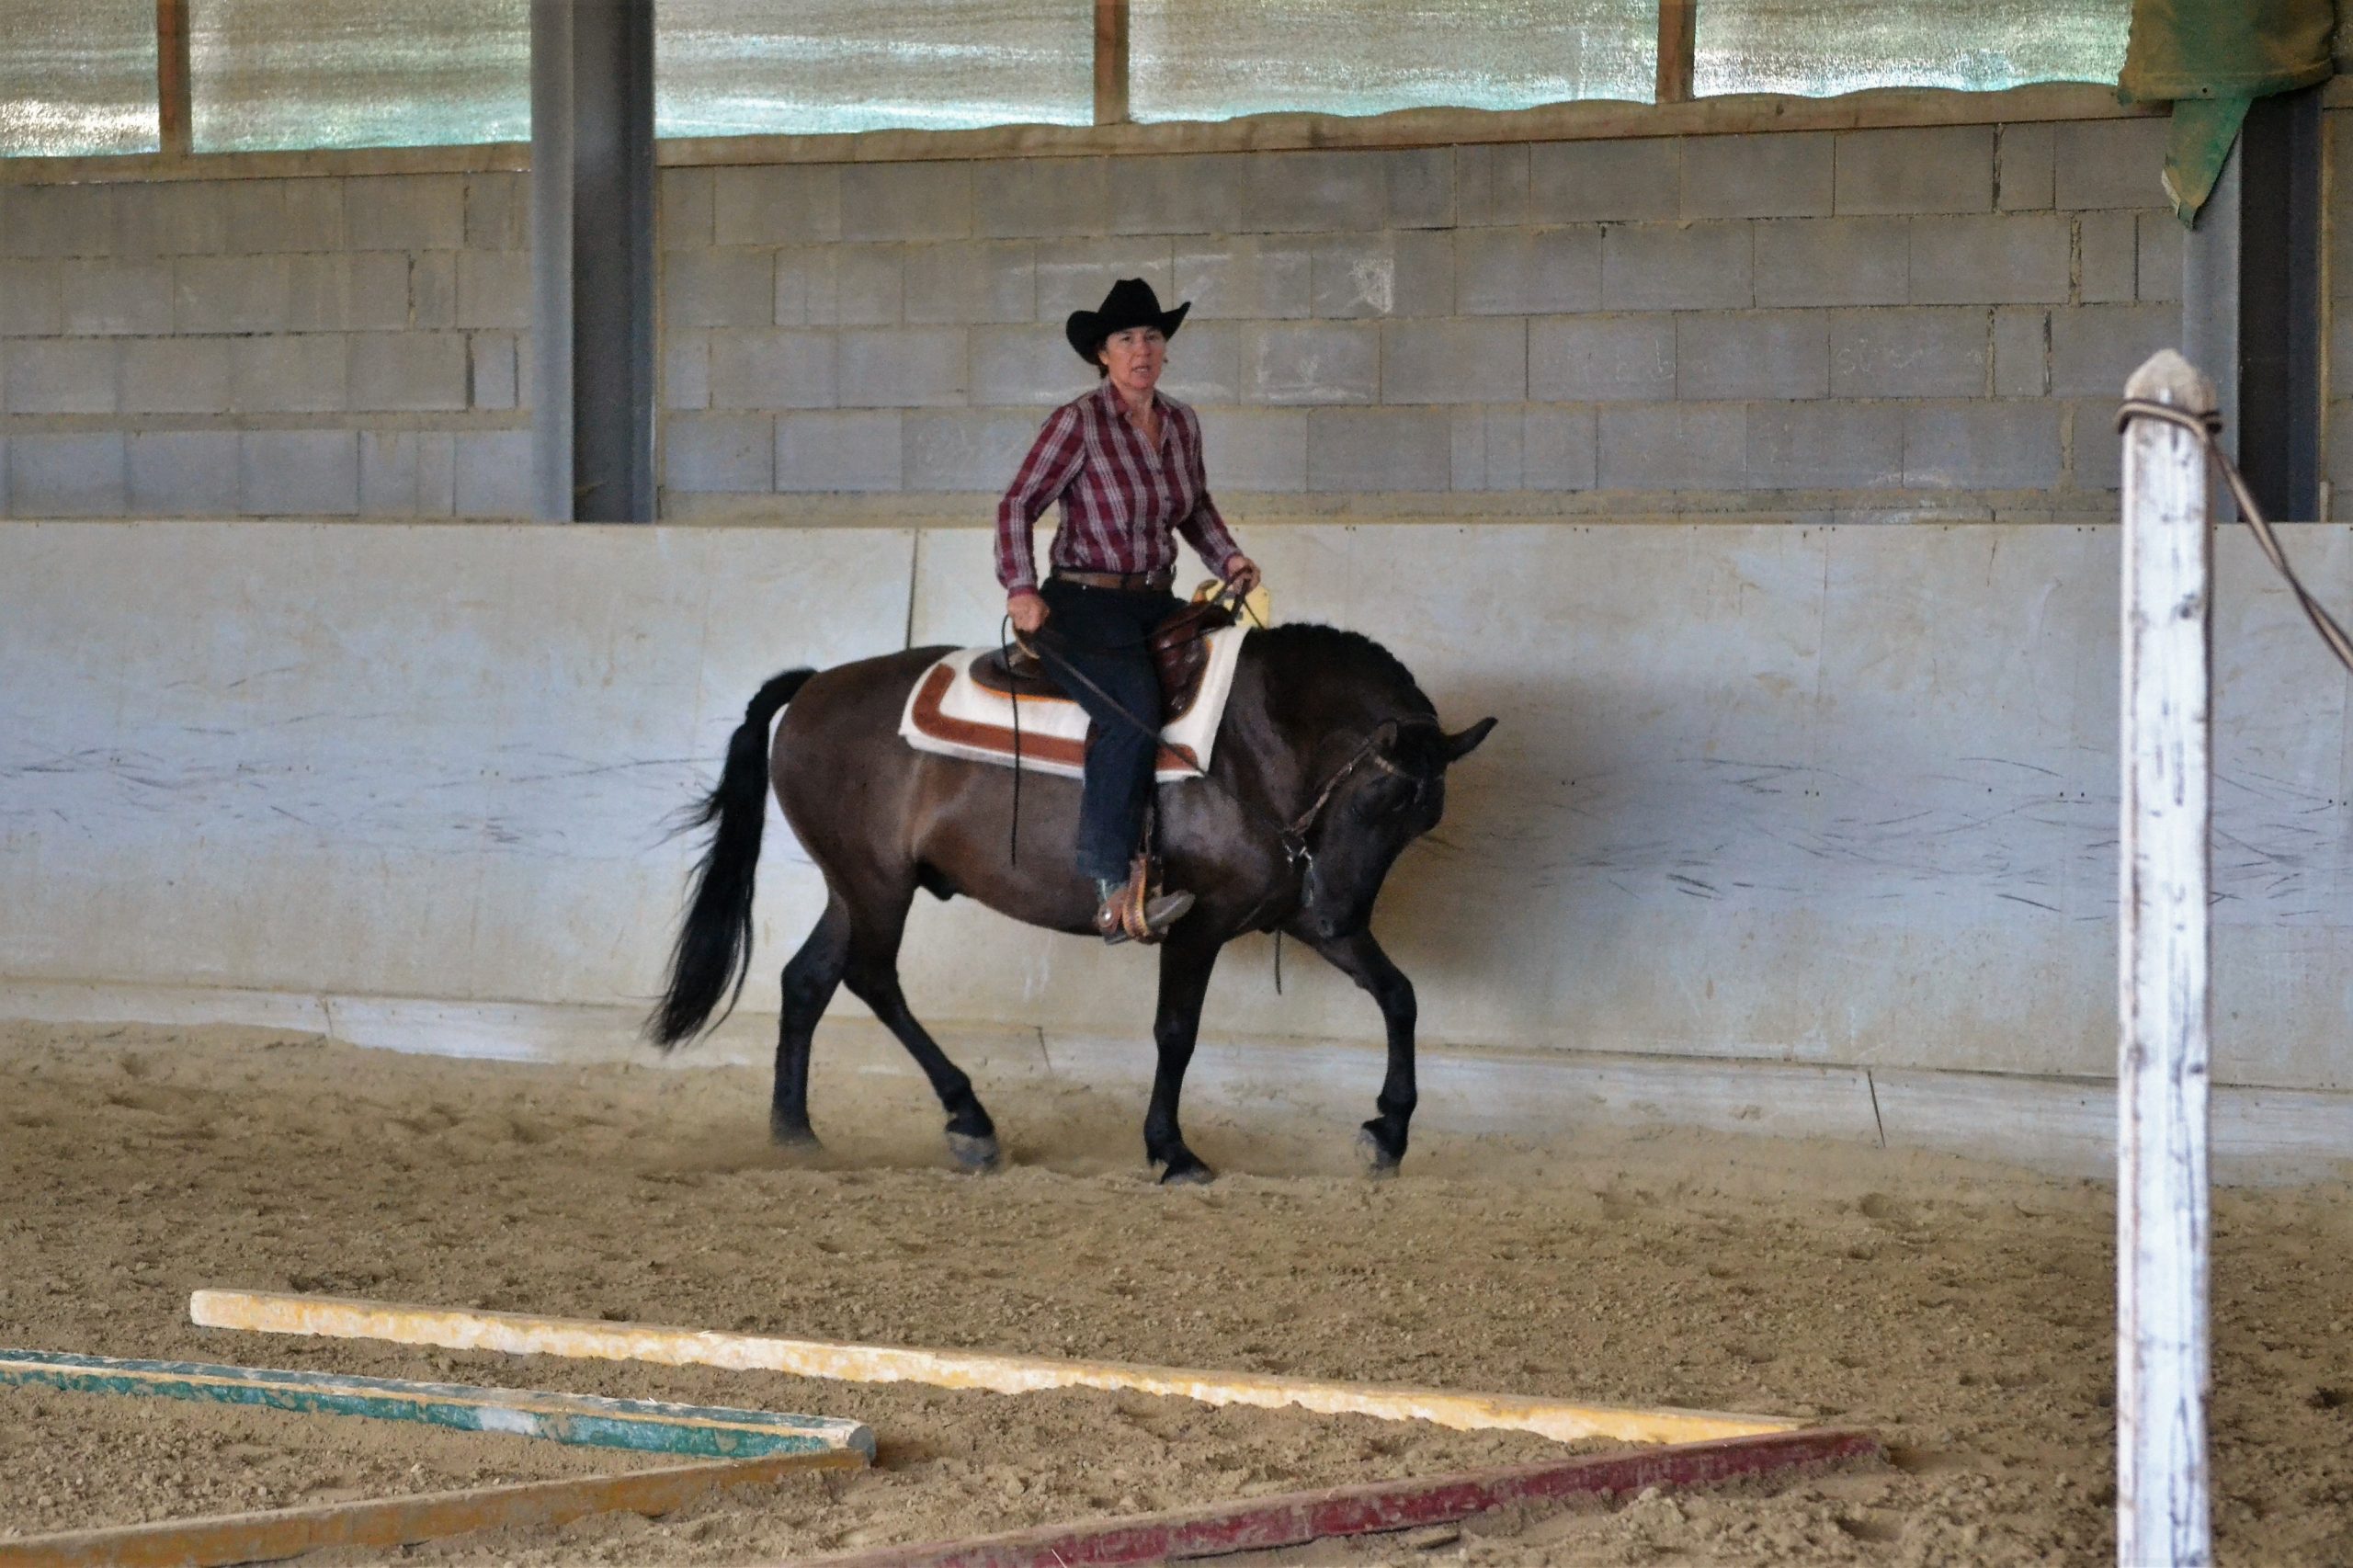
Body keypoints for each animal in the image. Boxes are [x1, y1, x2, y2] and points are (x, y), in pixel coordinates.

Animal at [644, 617, 1486, 1176]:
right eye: (1377, 799)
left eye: (1422, 821)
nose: (1338, 910)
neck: (1252, 744)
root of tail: (814, 685)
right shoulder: (1201, 923)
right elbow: (1176, 1031)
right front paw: (1171, 1149)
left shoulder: (1296, 913)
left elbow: (1398, 996)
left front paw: (1389, 1131)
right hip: (877, 885)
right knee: (871, 978)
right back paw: (969, 1120)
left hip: (853, 887)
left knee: (809, 980)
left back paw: (795, 1133)